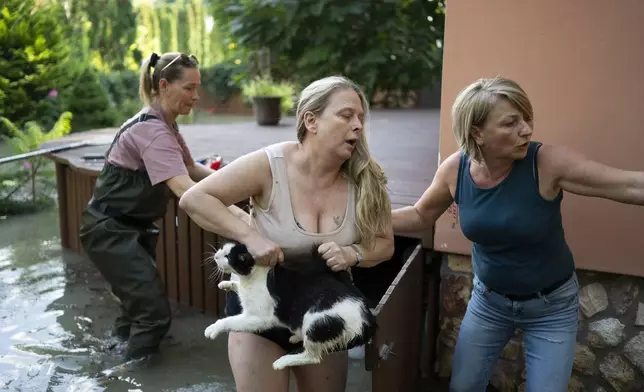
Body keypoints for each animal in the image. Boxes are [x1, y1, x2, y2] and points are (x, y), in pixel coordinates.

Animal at [204, 240, 378, 372]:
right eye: (222, 249)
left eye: (228, 256)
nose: (215, 256)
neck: (254, 275)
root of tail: (367, 316)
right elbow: (237, 286)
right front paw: (226, 284)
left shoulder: (258, 318)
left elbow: (228, 320)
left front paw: (212, 329)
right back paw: (296, 336)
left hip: (316, 321)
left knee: (313, 357)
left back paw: (282, 361)